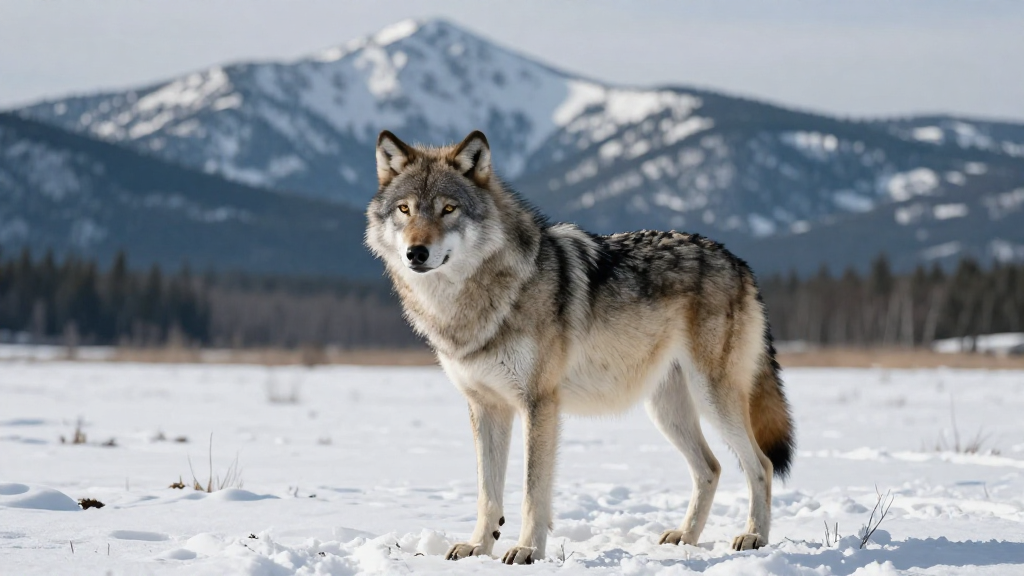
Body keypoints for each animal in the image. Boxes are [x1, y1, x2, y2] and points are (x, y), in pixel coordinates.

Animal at [365, 130, 795, 564]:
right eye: (405, 209)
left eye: (448, 209)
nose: (416, 253)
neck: (473, 302)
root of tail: (738, 261)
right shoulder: (486, 406)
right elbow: (488, 493)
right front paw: (478, 547)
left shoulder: (539, 404)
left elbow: (532, 491)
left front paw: (526, 550)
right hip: (666, 410)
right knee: (711, 468)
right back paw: (686, 537)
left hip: (712, 397)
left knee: (759, 465)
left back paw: (753, 536)